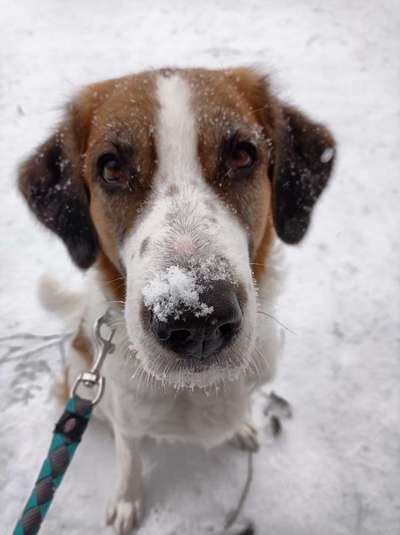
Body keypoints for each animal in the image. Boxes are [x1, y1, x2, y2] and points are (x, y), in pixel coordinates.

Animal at [18, 69, 336, 532]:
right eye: (111, 168)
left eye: (242, 156)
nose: (199, 320)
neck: (197, 389)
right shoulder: (128, 421)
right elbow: (130, 461)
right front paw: (128, 501)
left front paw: (241, 427)